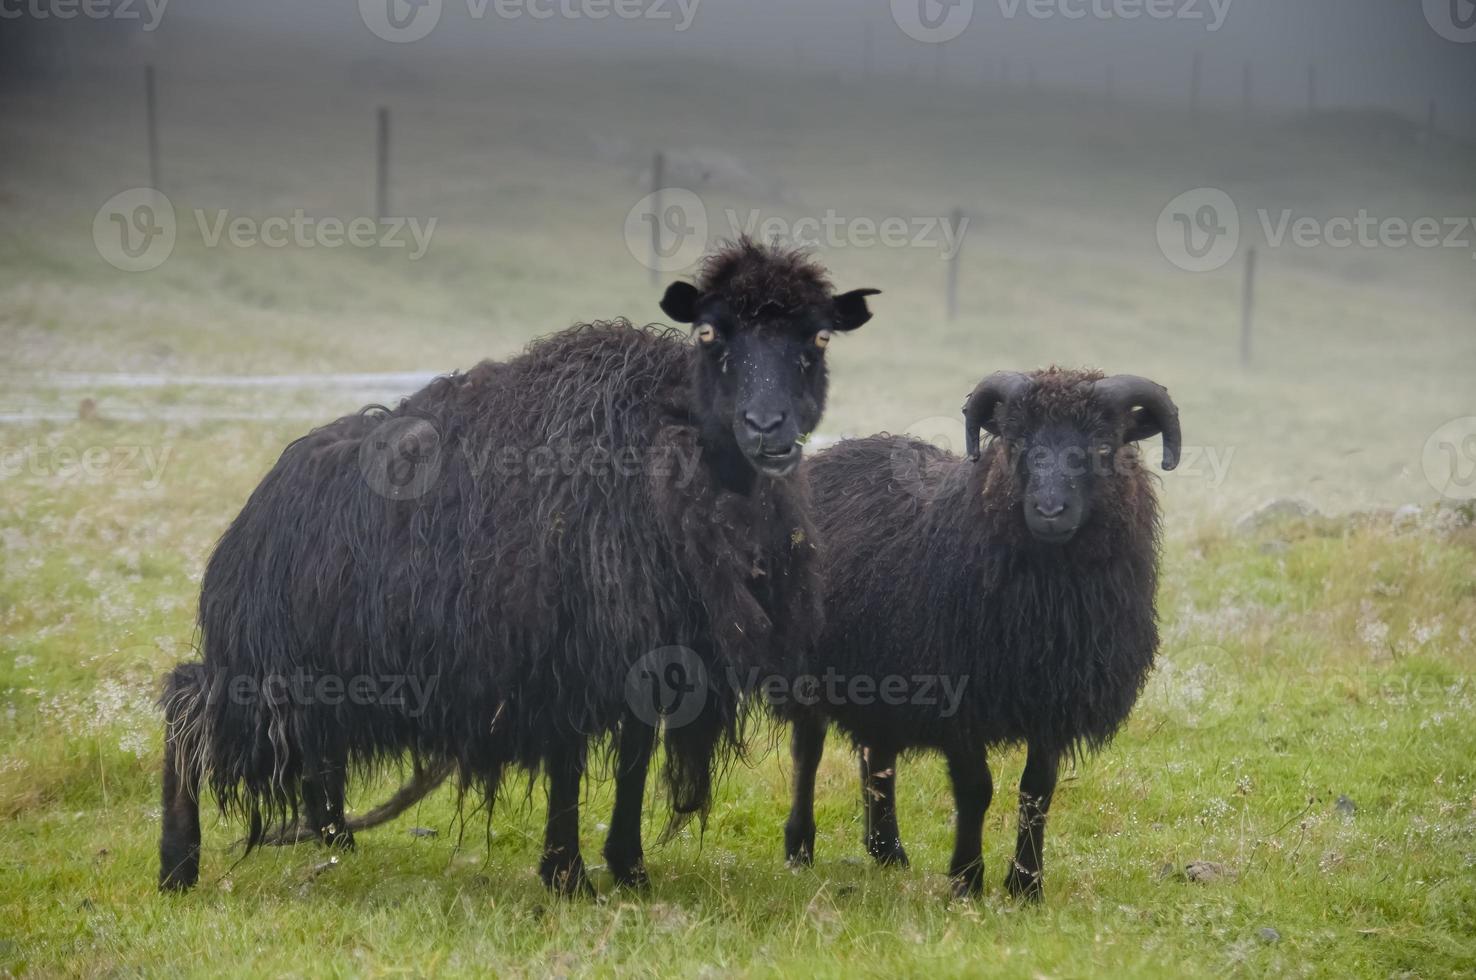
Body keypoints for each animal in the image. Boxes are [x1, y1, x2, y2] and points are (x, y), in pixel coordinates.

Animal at [161, 239, 873, 897]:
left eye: (818, 338)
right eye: (709, 332)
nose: (767, 427)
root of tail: (262, 497)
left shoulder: (650, 649)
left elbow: (634, 760)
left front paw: (628, 868)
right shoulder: (563, 652)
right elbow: (569, 766)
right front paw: (568, 876)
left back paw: (330, 835)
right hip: (269, 664)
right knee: (185, 702)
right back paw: (177, 865)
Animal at [791, 368, 1180, 903]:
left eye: (1104, 445)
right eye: (1016, 442)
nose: (1049, 510)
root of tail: (832, 454)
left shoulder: (1053, 701)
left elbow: (1037, 789)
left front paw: (1026, 885)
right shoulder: (958, 699)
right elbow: (976, 789)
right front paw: (967, 880)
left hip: (883, 669)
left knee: (877, 754)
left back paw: (887, 851)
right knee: (807, 753)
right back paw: (799, 848)